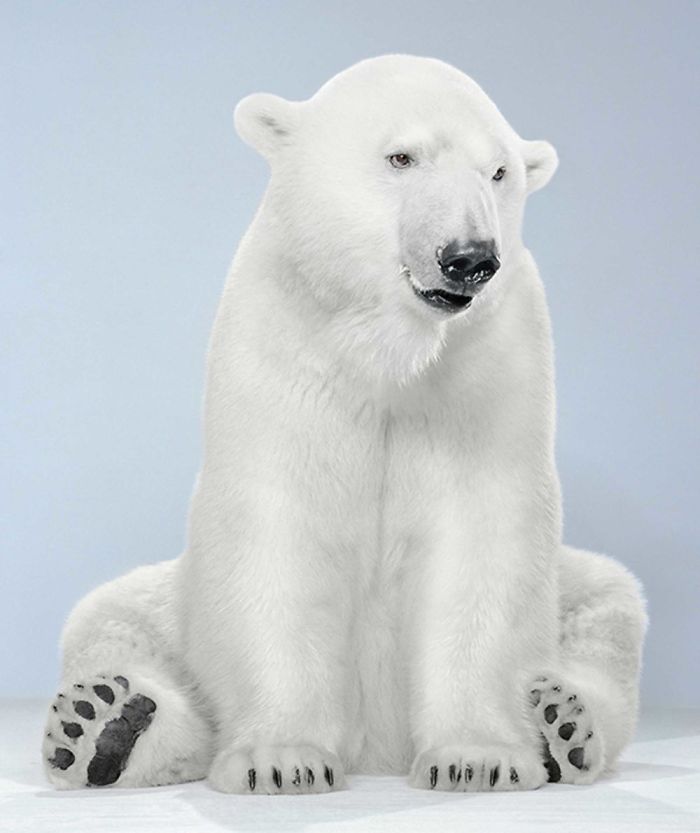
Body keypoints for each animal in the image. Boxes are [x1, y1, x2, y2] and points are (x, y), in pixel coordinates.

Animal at [43, 55, 647, 795]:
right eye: (401, 156)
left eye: (499, 171)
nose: (470, 256)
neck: (390, 351)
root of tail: (376, 749)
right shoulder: (286, 348)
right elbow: (278, 536)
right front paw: (281, 759)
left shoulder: (489, 367)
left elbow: (481, 538)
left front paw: (477, 758)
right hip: (172, 603)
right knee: (108, 619)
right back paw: (102, 724)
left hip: (578, 588)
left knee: (609, 606)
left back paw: (561, 720)